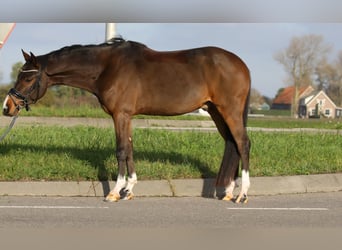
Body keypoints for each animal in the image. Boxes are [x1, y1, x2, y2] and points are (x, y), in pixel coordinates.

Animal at [2, 38, 251, 203]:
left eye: (28, 78)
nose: (7, 107)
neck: (107, 67)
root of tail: (241, 64)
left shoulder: (120, 114)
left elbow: (121, 150)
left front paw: (114, 191)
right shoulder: (127, 116)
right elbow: (130, 149)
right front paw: (129, 190)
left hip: (229, 111)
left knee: (242, 143)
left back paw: (242, 194)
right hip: (216, 111)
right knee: (232, 144)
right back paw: (229, 192)